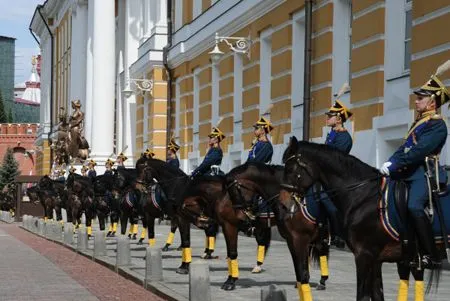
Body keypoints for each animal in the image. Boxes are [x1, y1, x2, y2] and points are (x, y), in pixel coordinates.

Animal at [282, 138, 440, 300]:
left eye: (290, 169)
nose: (284, 204)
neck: (363, 196)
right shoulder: (376, 259)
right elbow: (377, 294)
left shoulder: (363, 255)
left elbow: (362, 295)